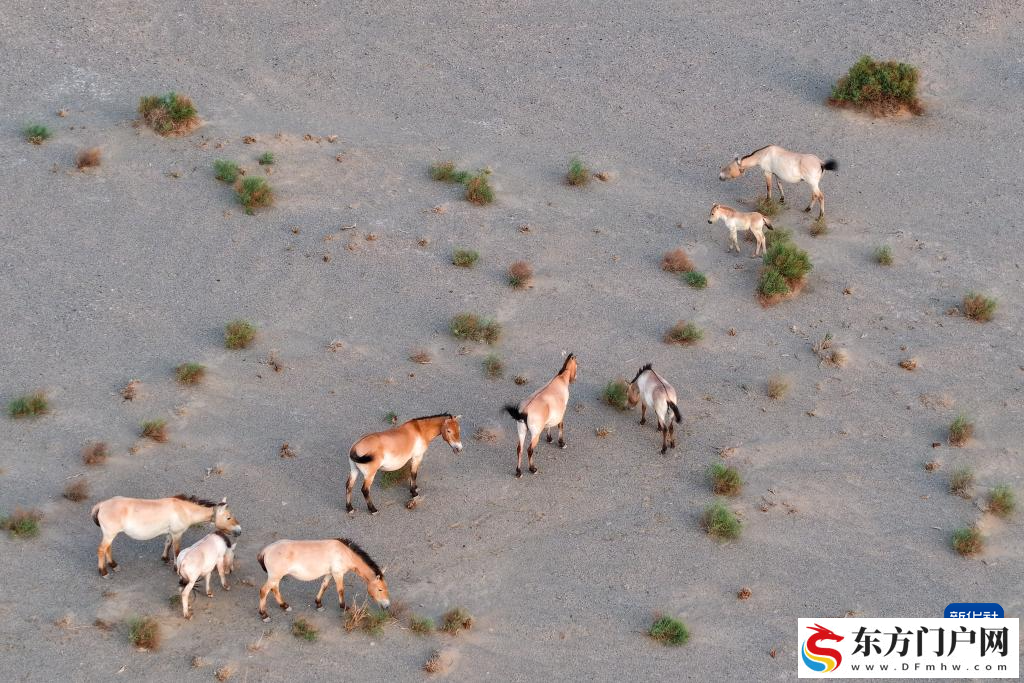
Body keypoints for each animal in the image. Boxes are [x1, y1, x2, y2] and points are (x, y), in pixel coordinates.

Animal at [91, 495, 241, 577]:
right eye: (228, 517)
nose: (239, 531)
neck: (184, 510)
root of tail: (102, 505)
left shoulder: (170, 533)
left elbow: (167, 544)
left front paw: (165, 558)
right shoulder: (177, 534)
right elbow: (176, 550)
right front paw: (175, 567)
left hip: (110, 534)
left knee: (108, 548)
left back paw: (114, 565)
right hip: (109, 534)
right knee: (101, 550)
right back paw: (103, 572)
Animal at [256, 538, 390, 622]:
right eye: (380, 589)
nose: (387, 606)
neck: (344, 553)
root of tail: (266, 550)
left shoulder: (329, 574)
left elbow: (324, 586)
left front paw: (318, 604)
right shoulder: (338, 574)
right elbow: (340, 590)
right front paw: (344, 607)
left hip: (276, 577)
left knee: (274, 589)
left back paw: (284, 606)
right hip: (274, 577)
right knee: (263, 591)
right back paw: (264, 615)